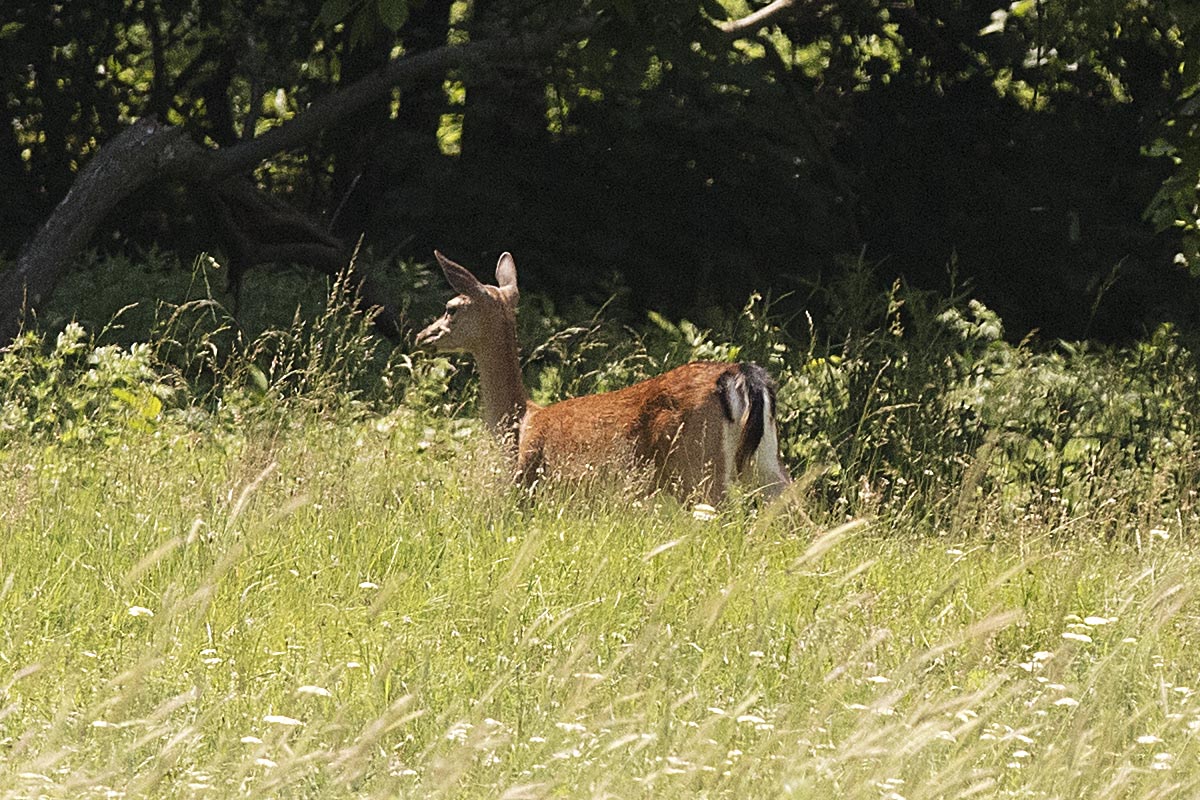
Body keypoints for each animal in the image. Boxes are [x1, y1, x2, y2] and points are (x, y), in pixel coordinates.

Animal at [417, 250, 792, 503]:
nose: (423, 336)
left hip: (698, 463)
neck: (519, 422)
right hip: (767, 462)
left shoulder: (530, 482)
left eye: (451, 309)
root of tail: (740, 374)